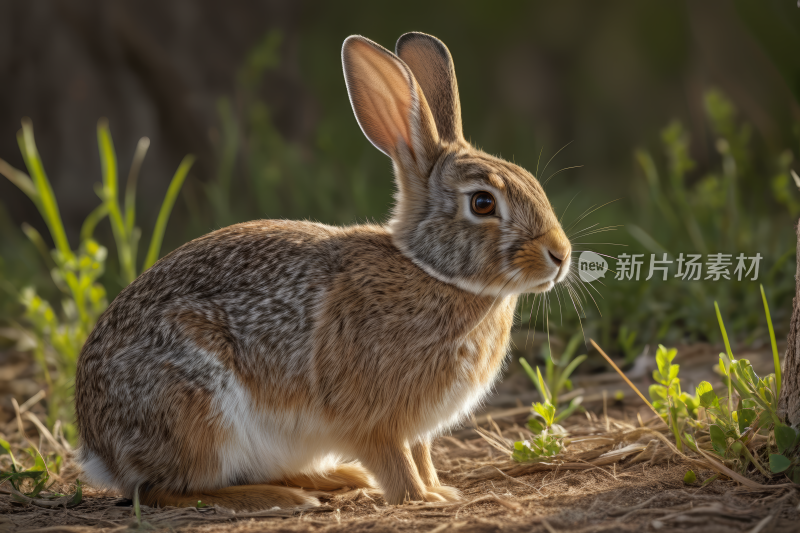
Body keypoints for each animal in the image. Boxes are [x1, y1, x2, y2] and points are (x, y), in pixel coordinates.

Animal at [73, 30, 568, 512]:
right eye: (482, 203)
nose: (560, 255)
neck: (431, 270)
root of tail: (99, 449)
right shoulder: (375, 419)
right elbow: (395, 460)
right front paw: (421, 499)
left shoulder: (416, 428)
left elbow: (422, 454)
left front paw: (438, 490)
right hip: (197, 410)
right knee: (162, 489)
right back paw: (280, 498)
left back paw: (335, 479)